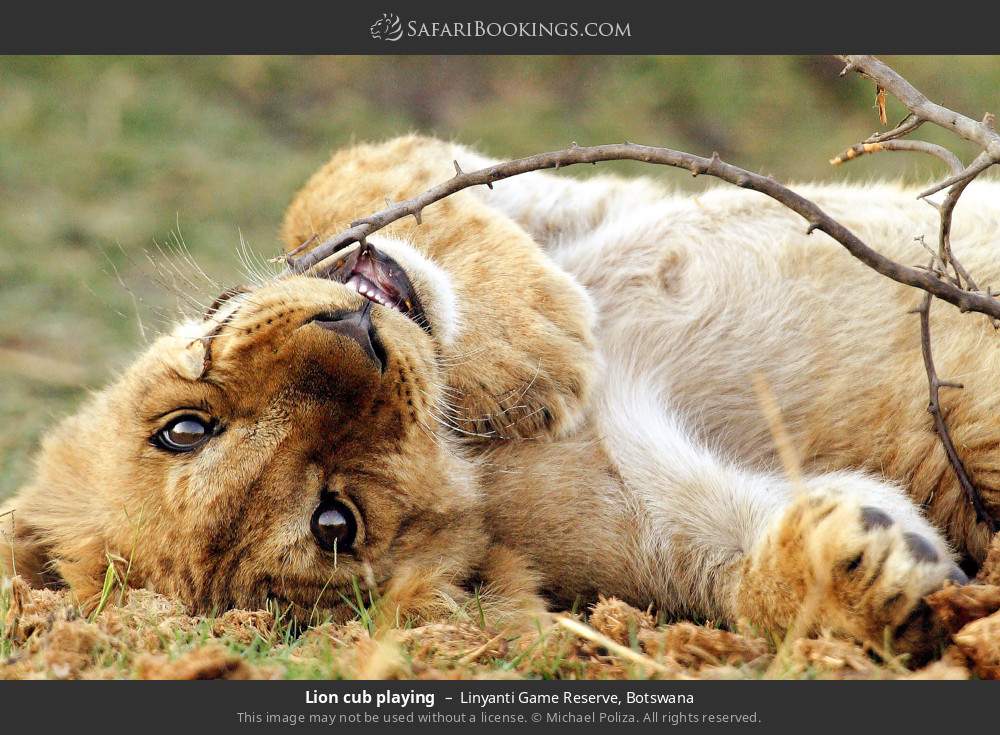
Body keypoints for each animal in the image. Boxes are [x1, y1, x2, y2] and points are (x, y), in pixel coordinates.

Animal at [4, 134, 995, 658]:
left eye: (183, 428)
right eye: (333, 521)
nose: (356, 334)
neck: (471, 447)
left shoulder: (526, 190)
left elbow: (343, 182)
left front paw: (532, 341)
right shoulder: (636, 526)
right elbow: (740, 568)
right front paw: (864, 571)